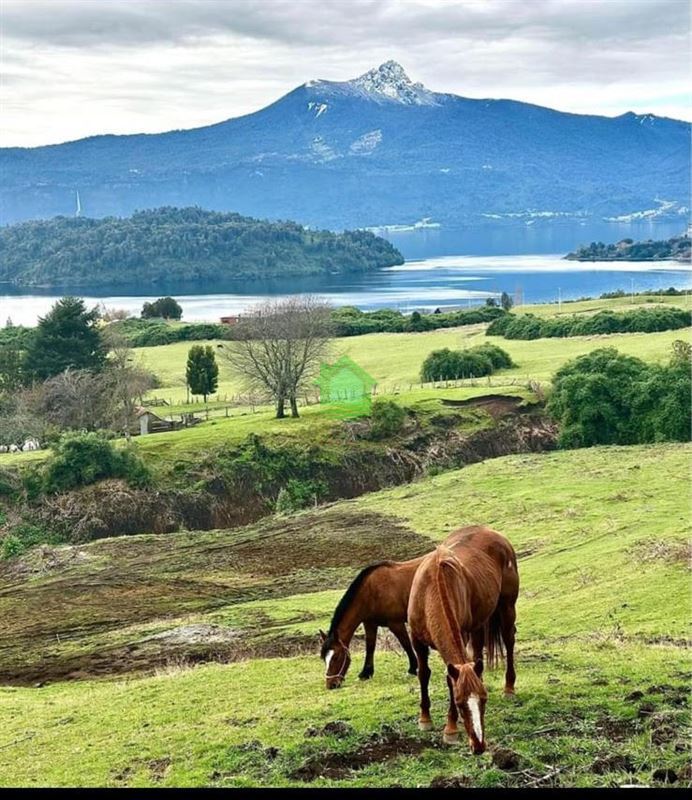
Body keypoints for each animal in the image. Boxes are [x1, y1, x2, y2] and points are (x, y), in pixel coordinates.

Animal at [318, 556, 422, 688]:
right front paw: (366, 673)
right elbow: (370, 646)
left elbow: (406, 644)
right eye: (323, 658)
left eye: (336, 657)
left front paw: (412, 669)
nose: (331, 685)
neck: (371, 592)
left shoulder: (396, 623)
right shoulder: (370, 624)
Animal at [406, 528, 520, 752]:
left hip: (506, 607)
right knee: (477, 652)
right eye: (459, 703)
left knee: (509, 640)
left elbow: (449, 678)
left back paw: (509, 687)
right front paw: (425, 719)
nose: (479, 745)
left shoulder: (462, 632)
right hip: (478, 624)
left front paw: (450, 728)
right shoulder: (416, 640)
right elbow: (423, 673)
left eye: (484, 700)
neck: (432, 588)